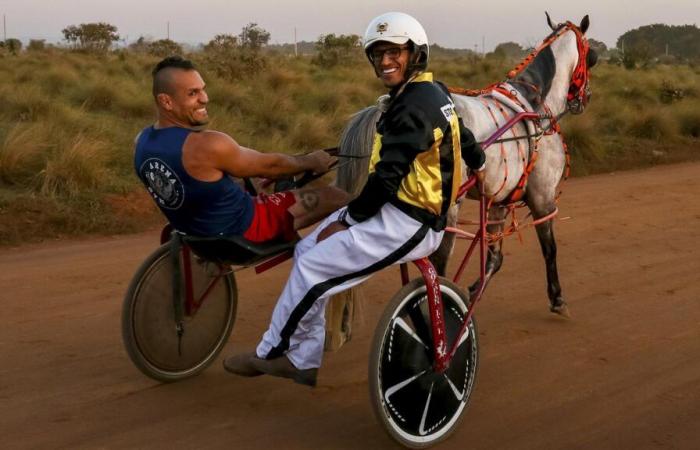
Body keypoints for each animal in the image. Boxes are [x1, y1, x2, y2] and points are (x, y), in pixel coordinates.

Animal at [336, 14, 600, 316]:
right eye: (591, 55)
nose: (585, 98)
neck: (535, 106)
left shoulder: (498, 201)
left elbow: (495, 257)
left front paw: (474, 290)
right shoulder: (542, 198)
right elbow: (549, 248)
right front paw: (557, 298)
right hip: (448, 211)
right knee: (437, 264)